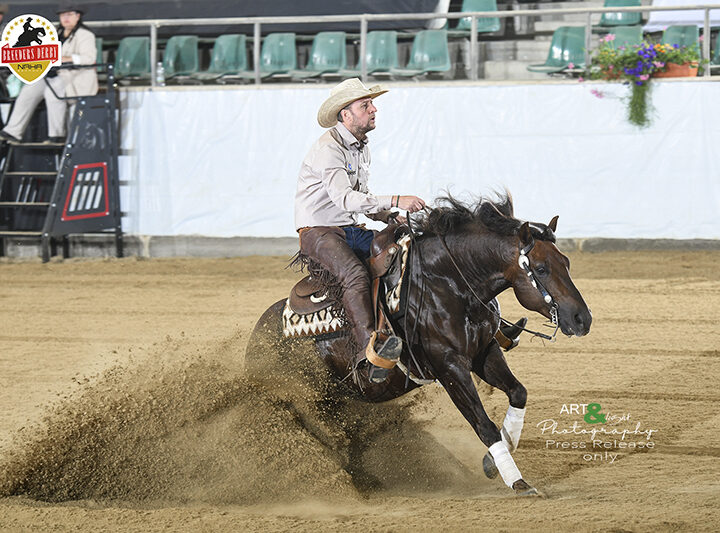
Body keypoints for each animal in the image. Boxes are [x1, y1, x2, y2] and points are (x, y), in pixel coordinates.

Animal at [248, 193, 592, 496]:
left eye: (567, 262)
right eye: (542, 268)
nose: (582, 318)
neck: (448, 283)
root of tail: (256, 339)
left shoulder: (484, 352)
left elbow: (518, 393)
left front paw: (491, 462)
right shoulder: (449, 366)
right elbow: (483, 424)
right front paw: (518, 482)